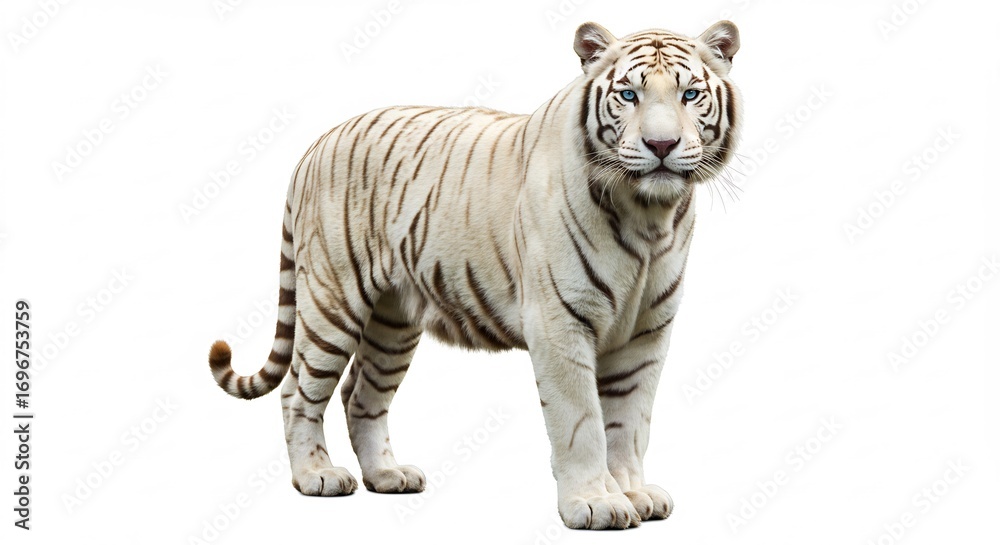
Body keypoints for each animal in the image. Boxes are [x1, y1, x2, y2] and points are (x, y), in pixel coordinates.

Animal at [208, 20, 742, 529]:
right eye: (629, 95)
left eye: (690, 95)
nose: (661, 144)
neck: (649, 215)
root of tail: (316, 144)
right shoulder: (560, 322)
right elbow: (582, 422)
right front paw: (594, 504)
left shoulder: (647, 331)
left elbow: (629, 423)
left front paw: (632, 493)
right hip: (331, 301)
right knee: (298, 390)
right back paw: (316, 476)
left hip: (392, 322)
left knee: (360, 394)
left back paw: (387, 474)